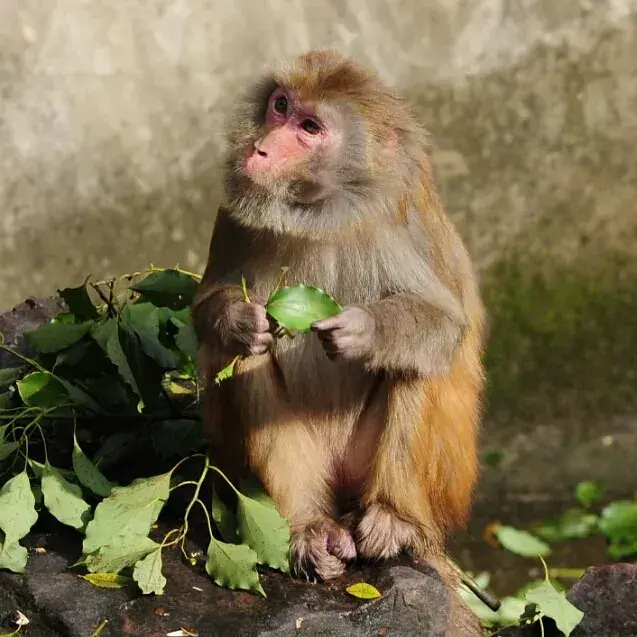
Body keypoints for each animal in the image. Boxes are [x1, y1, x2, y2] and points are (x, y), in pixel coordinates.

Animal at [191, 48, 484, 632]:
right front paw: (239, 319)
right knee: (252, 361)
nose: (260, 148)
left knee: (419, 362)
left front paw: (361, 331)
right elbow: (210, 309)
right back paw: (308, 527)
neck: (320, 212)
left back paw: (393, 519)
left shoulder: (401, 224)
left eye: (310, 128)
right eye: (281, 106)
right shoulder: (234, 214)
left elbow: (444, 325)